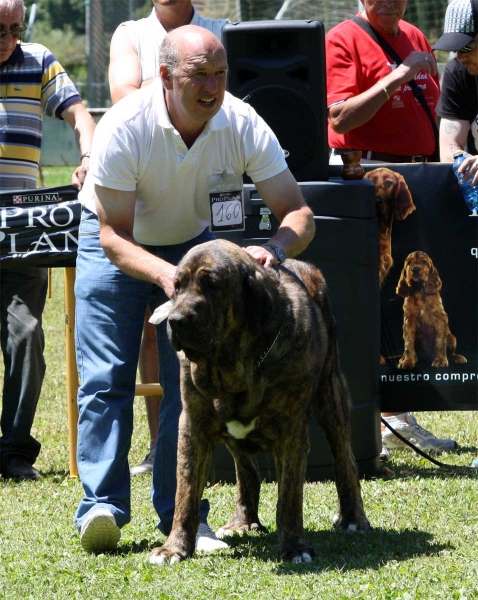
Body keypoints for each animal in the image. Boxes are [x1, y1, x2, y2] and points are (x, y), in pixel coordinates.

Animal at [149, 237, 370, 564]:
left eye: (212, 285)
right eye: (177, 286)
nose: (176, 320)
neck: (238, 365)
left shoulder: (292, 432)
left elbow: (289, 497)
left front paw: (295, 548)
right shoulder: (193, 425)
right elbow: (186, 493)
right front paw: (174, 548)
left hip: (331, 398)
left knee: (345, 460)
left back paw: (353, 517)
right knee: (246, 471)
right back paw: (242, 520)